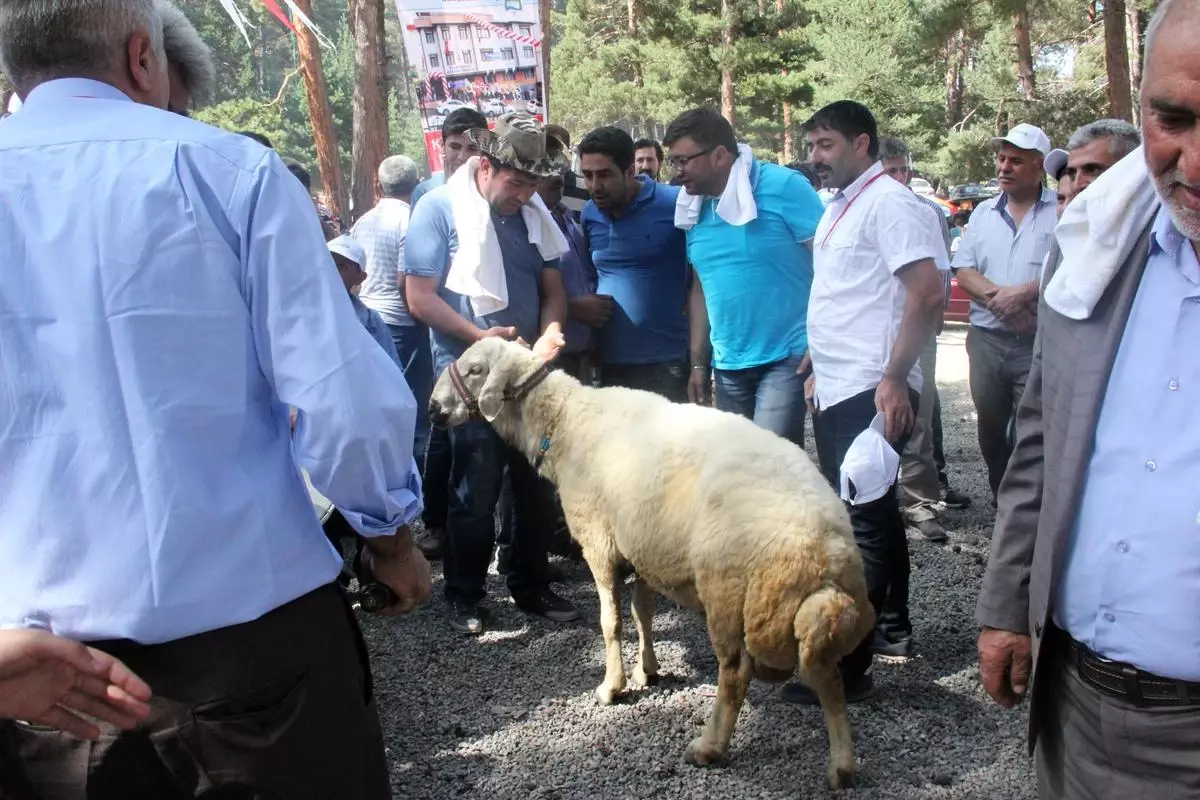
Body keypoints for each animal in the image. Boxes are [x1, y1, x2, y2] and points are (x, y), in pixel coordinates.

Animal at [429, 331, 873, 786]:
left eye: (475, 370)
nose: (431, 409)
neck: (567, 422)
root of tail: (826, 553)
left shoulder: (600, 543)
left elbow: (611, 622)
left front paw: (613, 686)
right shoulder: (642, 545)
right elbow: (642, 612)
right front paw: (649, 669)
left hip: (727, 591)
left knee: (735, 673)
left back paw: (710, 746)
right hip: (805, 621)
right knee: (828, 678)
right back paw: (842, 766)